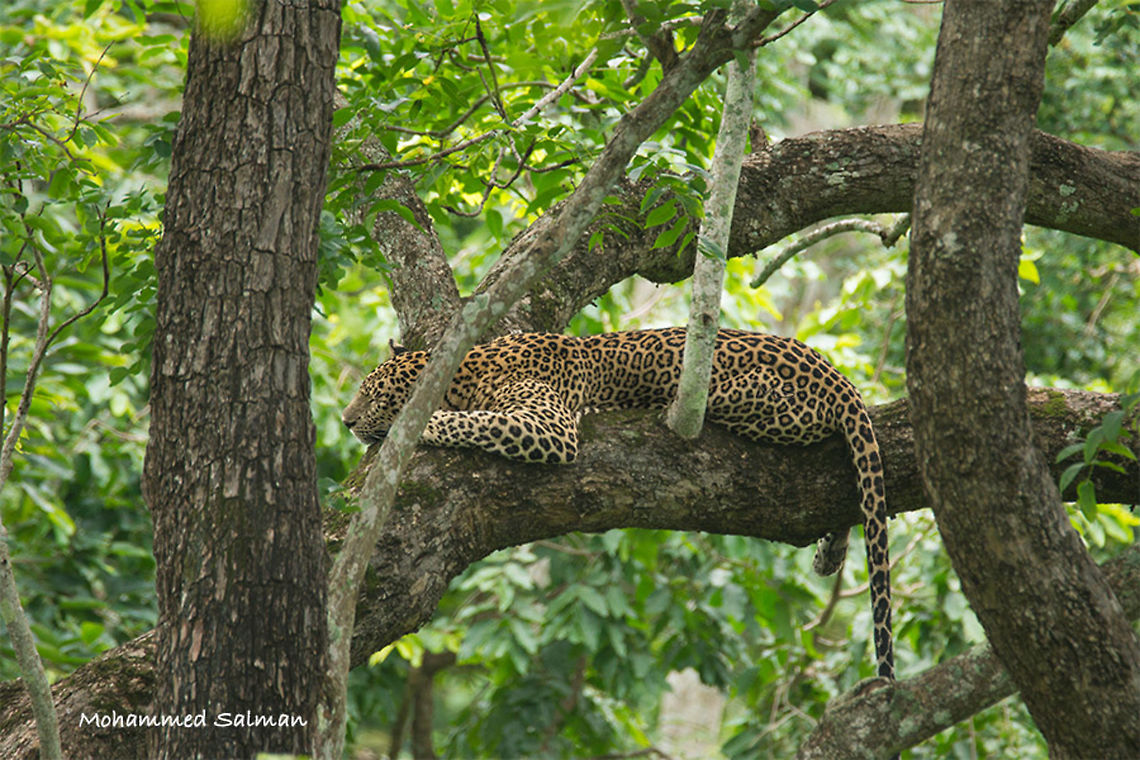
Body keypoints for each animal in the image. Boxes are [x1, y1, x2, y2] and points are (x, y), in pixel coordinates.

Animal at [342, 327, 894, 681]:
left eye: (374, 395)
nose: (346, 421)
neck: (470, 371)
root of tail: (837, 374)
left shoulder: (548, 425)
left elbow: (464, 422)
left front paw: (407, 431)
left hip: (736, 396)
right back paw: (831, 552)